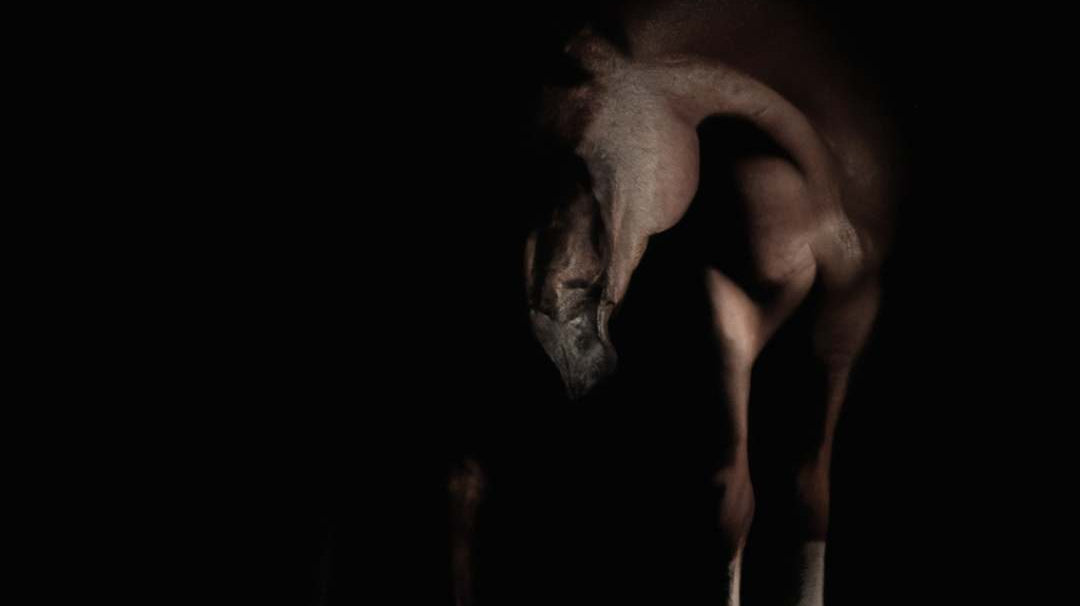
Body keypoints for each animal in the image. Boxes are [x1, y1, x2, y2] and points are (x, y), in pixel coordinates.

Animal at [451, 2, 902, 604]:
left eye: (577, 162)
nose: (560, 349)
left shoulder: (844, 323)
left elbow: (809, 497)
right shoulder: (729, 300)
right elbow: (732, 500)